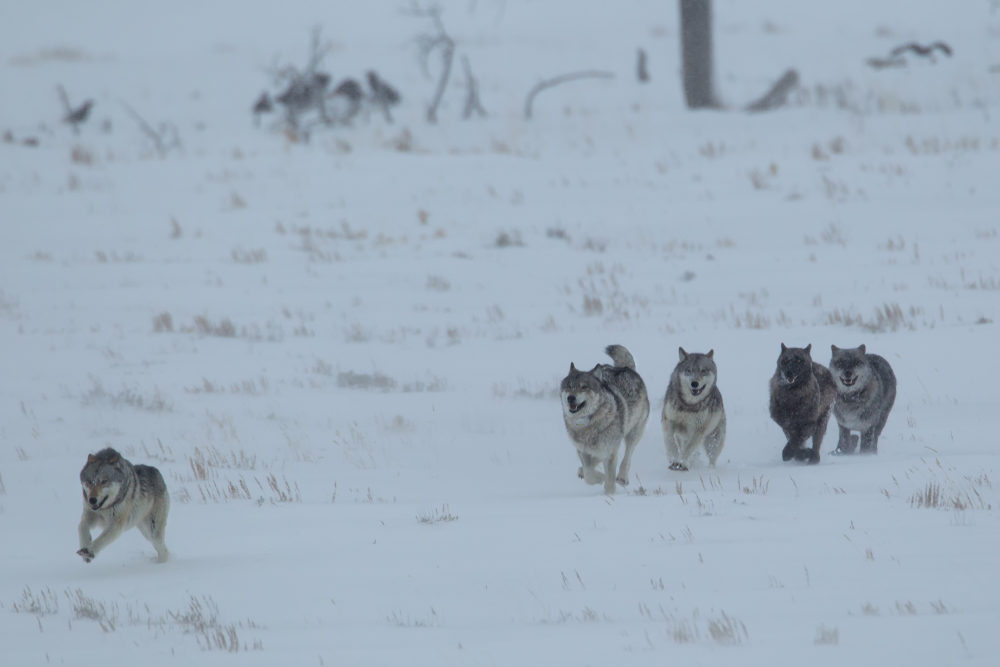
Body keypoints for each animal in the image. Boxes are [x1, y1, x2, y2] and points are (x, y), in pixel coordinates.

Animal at [560, 344, 652, 496]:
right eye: (568, 386)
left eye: (584, 387)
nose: (570, 398)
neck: (587, 424)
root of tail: (626, 368)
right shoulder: (583, 450)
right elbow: (589, 475)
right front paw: (597, 477)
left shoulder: (609, 452)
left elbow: (608, 483)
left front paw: (608, 489)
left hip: (633, 434)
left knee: (627, 456)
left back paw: (622, 478)